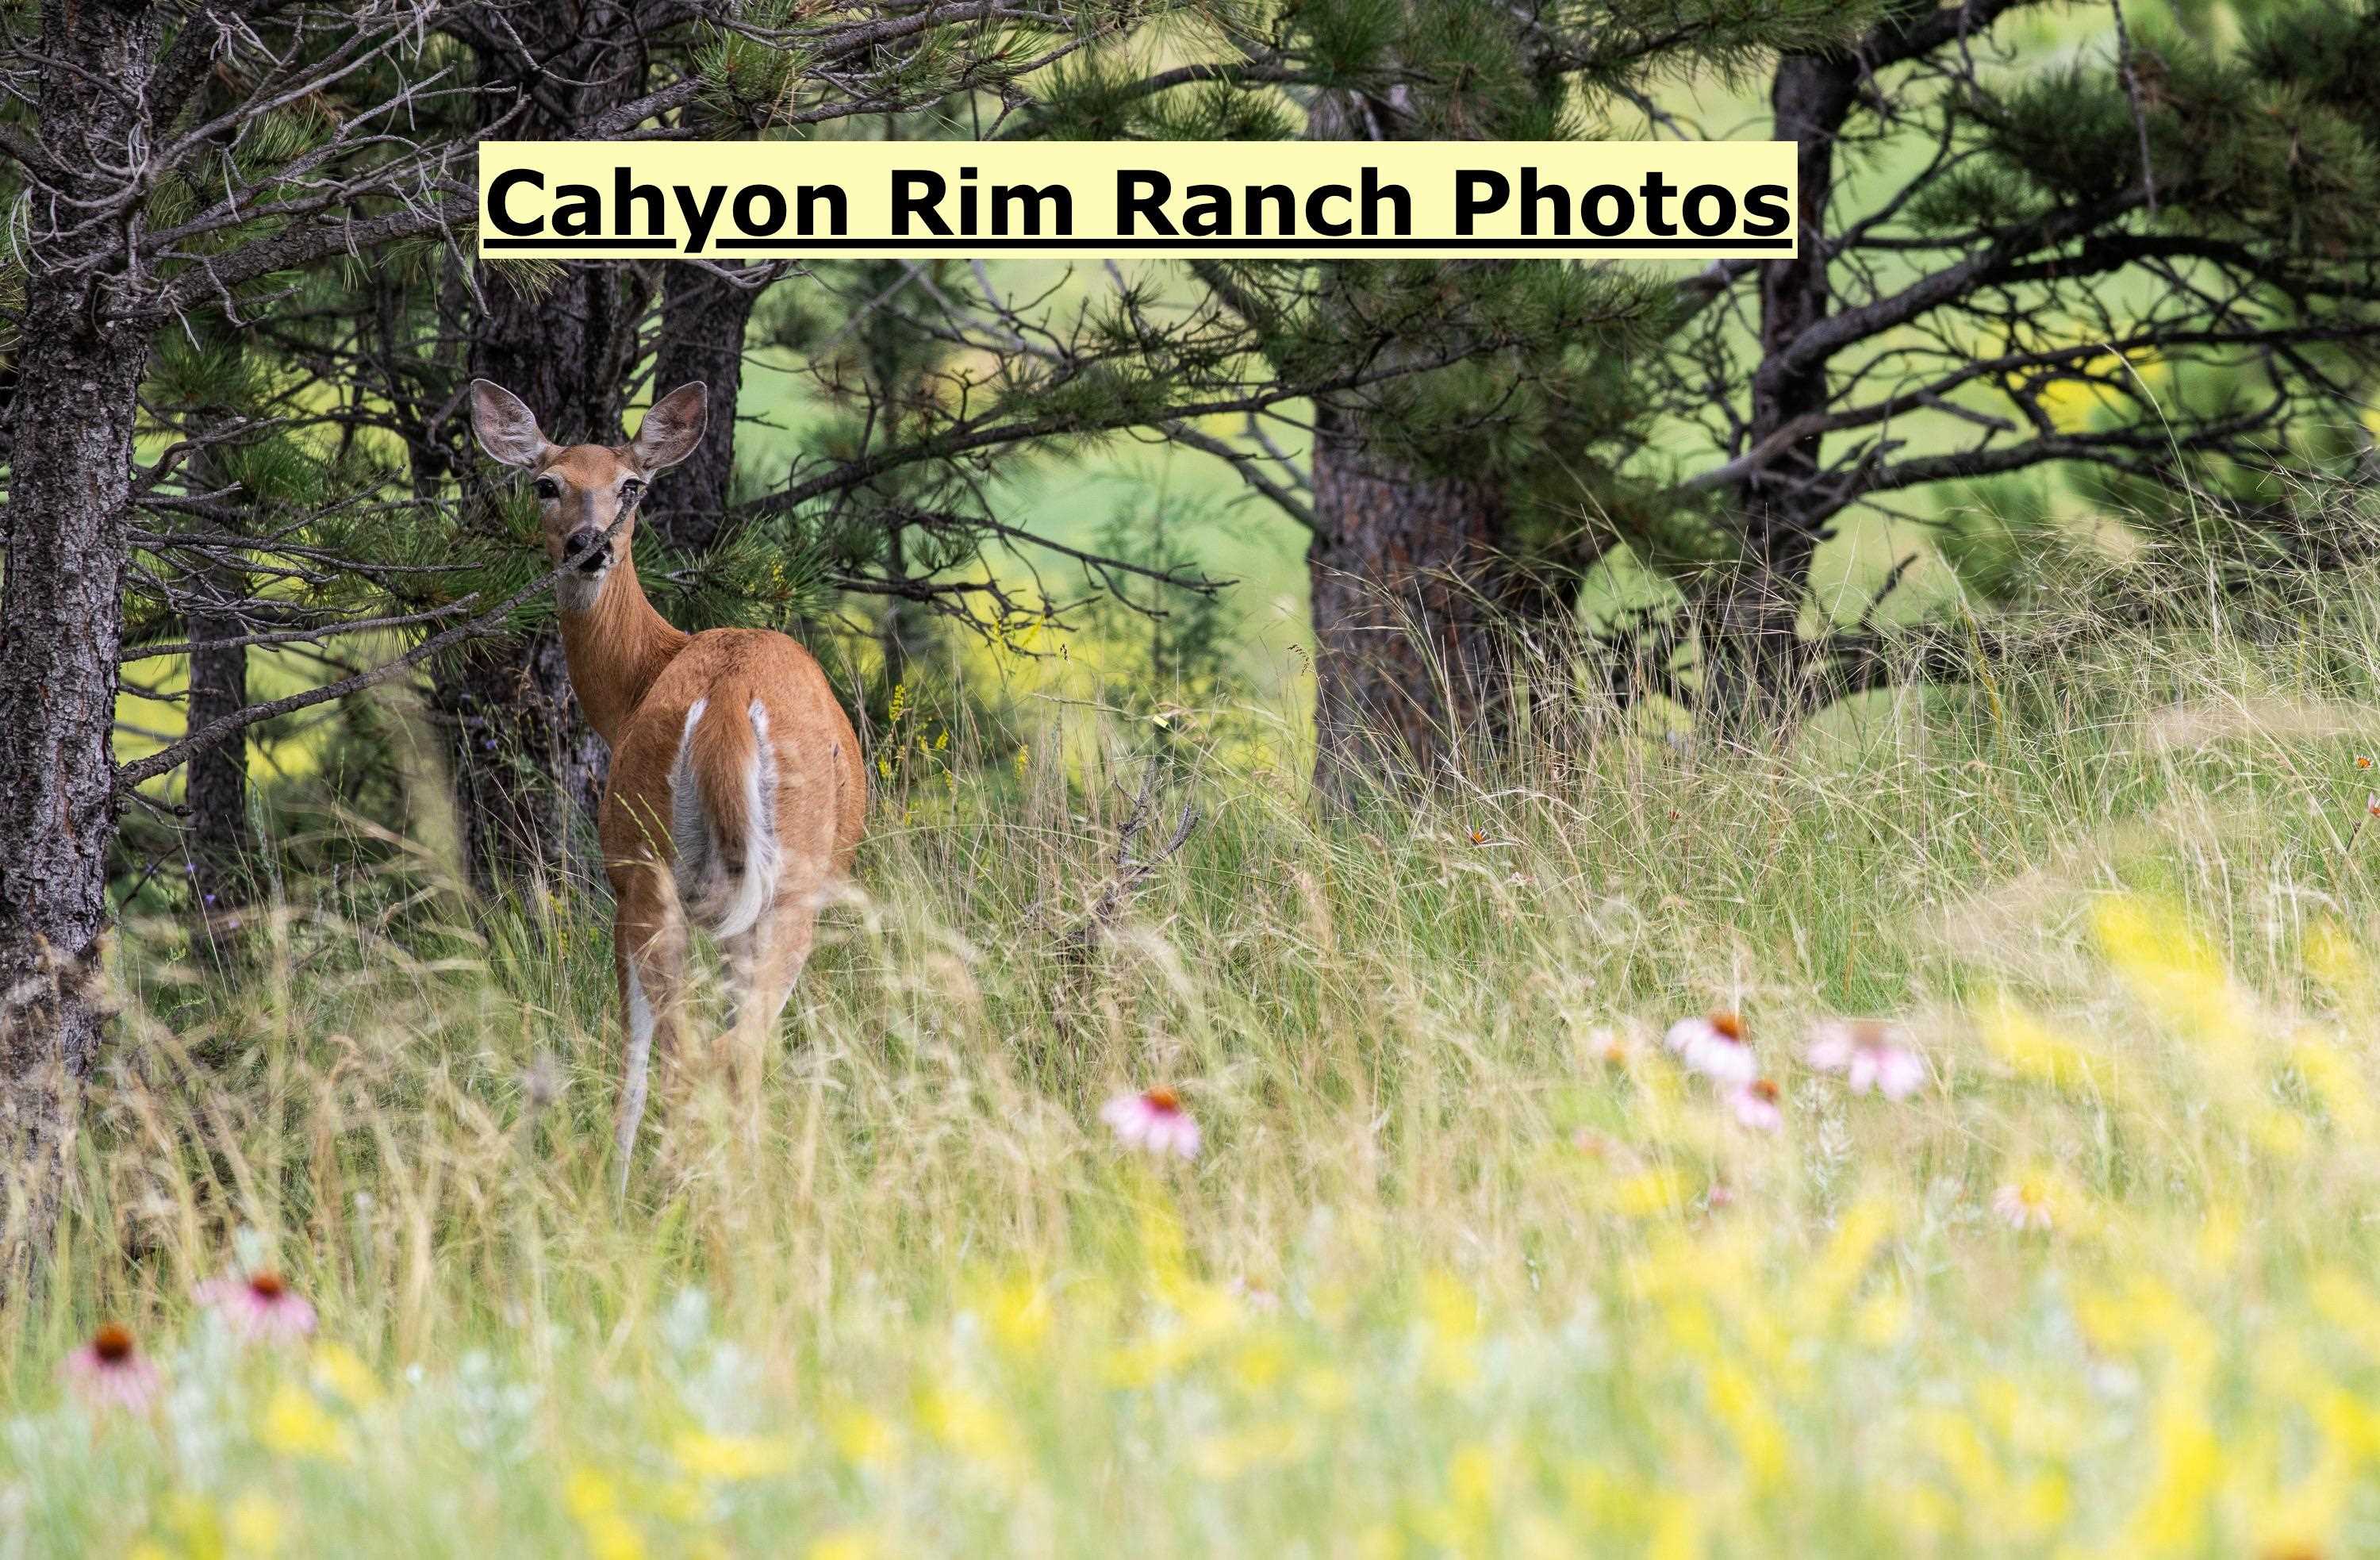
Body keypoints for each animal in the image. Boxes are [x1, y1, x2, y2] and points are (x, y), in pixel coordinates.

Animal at [468, 378, 865, 1185]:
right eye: (546, 483)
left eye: (632, 485)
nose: (590, 545)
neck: (637, 680)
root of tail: (727, 704)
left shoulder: (631, 881)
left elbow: (638, 1050)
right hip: (764, 880)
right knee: (725, 1053)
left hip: (652, 862)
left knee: (694, 1054)